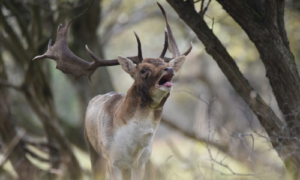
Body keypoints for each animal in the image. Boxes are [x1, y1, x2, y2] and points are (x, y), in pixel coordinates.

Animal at [32, 2, 192, 180]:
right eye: (143, 69)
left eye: (164, 63)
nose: (169, 69)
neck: (132, 146)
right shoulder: (112, 160)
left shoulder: (142, 162)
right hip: (93, 150)